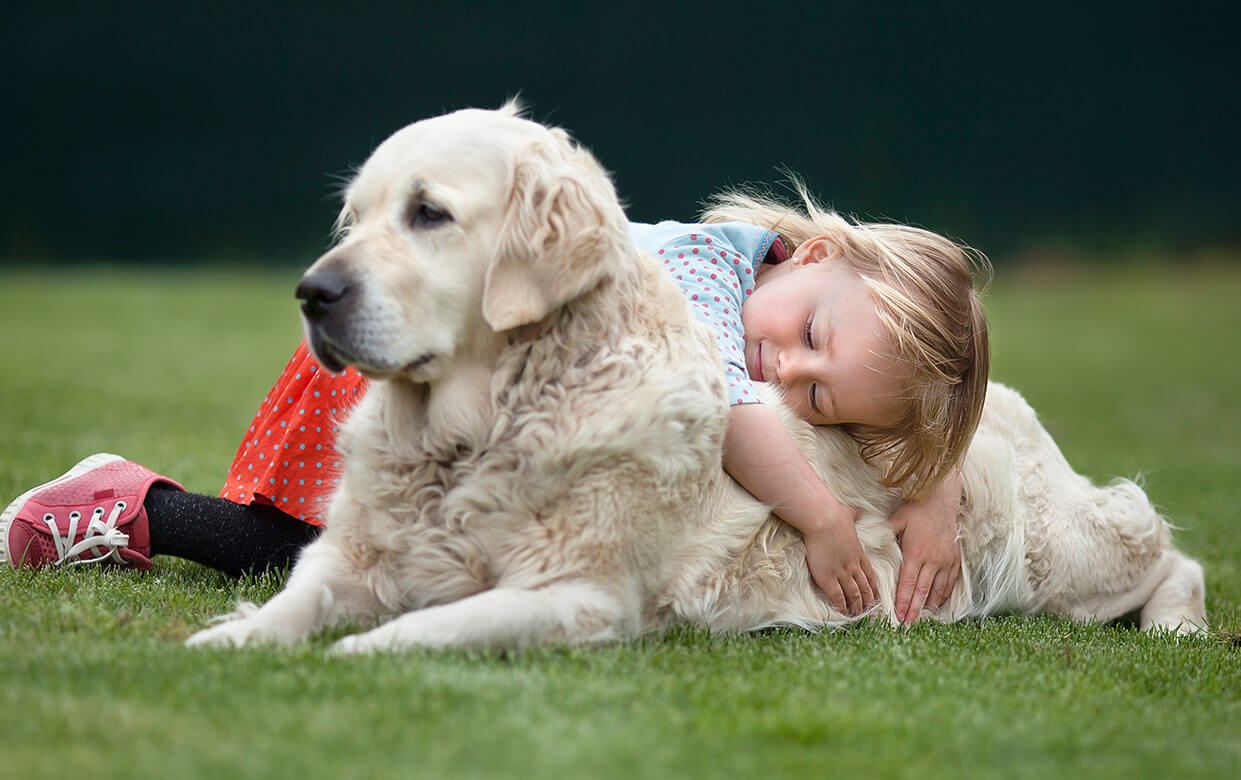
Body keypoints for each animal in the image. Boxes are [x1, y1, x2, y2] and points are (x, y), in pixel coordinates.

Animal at [183, 104, 1201, 649]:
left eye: (429, 213)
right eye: (352, 219)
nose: (313, 292)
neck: (482, 430)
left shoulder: (578, 594)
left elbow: (422, 627)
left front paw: (358, 650)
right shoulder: (351, 555)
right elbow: (299, 596)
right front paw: (233, 639)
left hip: (1051, 558)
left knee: (1166, 552)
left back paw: (1179, 627)